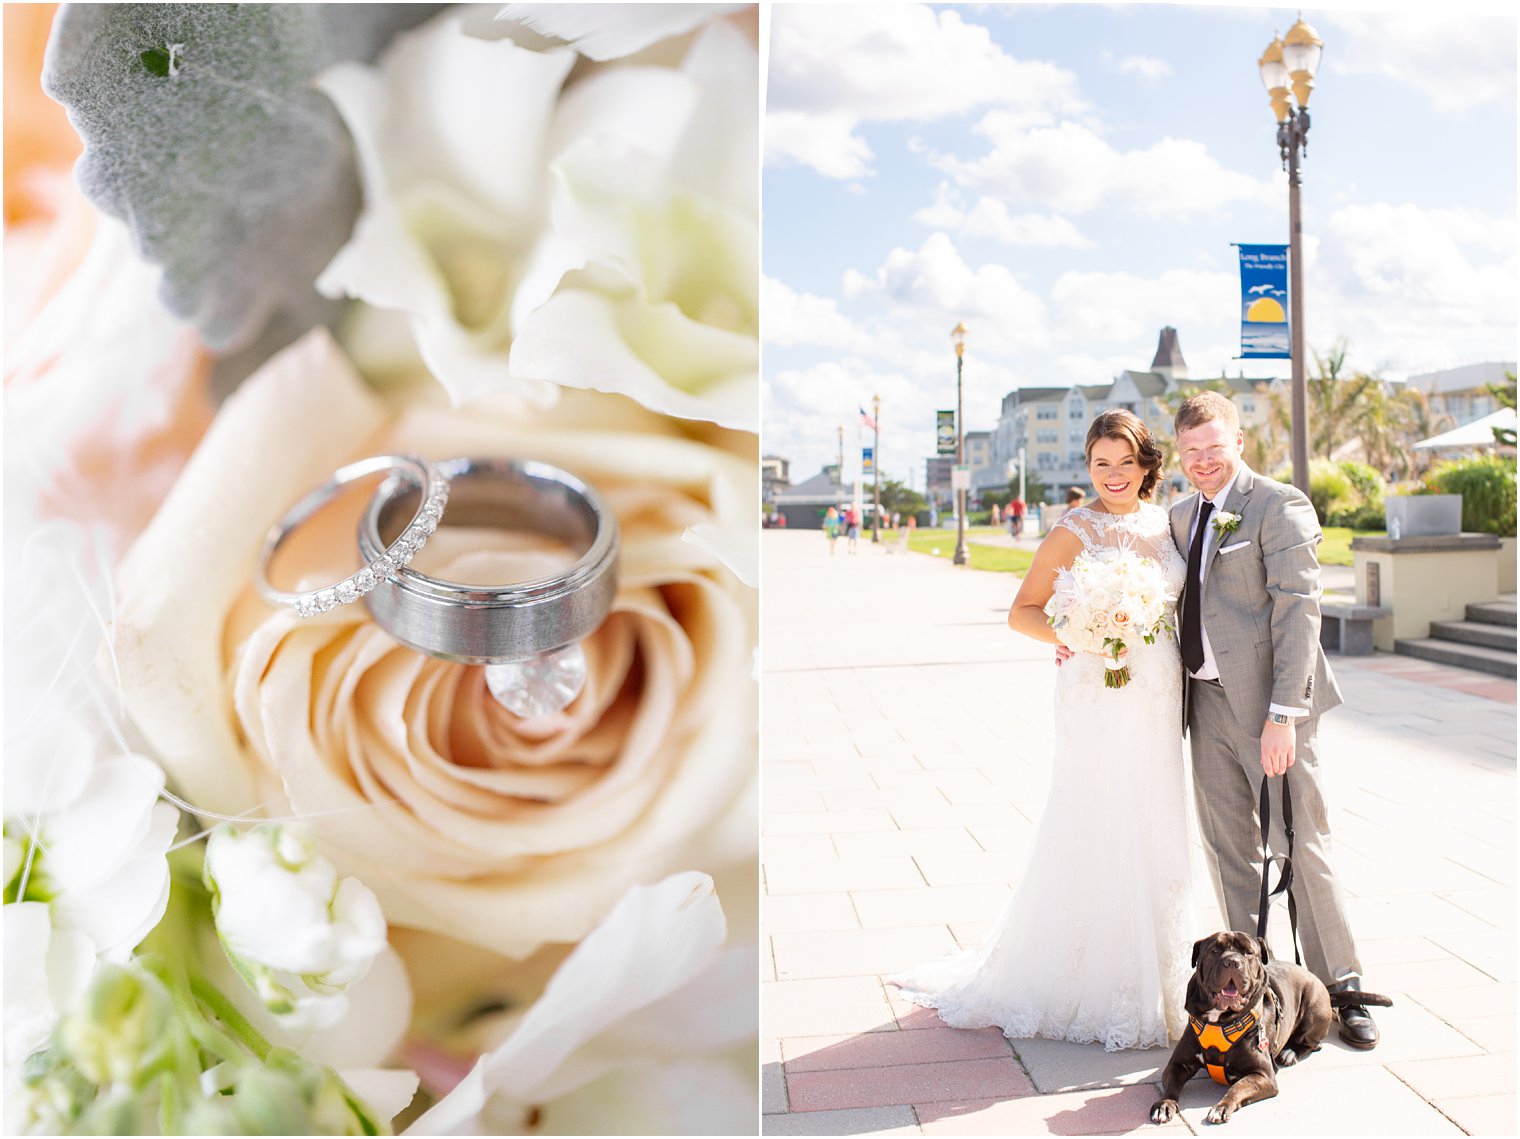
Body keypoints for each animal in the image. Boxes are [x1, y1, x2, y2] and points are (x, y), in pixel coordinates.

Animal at [1149, 930, 1331, 1125]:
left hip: (1315, 1009)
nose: (1232, 962)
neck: (1219, 1019)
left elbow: (1237, 1087)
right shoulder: (1177, 1064)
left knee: (1312, 1042)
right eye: (1214, 950)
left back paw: (1290, 1052)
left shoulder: (1263, 1074)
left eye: (1249, 952)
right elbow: (1171, 1086)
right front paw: (1164, 1105)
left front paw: (1221, 1107)